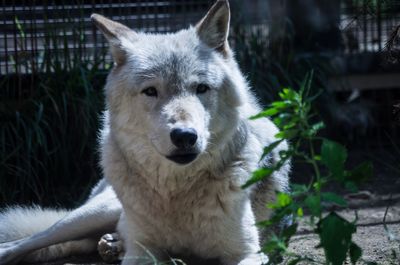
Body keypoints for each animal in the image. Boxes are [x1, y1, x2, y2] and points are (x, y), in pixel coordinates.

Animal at [0, 1, 290, 262]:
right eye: (150, 91)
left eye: (201, 88)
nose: (185, 136)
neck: (176, 194)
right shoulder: (141, 253)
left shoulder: (247, 253)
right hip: (93, 213)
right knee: (29, 241)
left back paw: (111, 244)